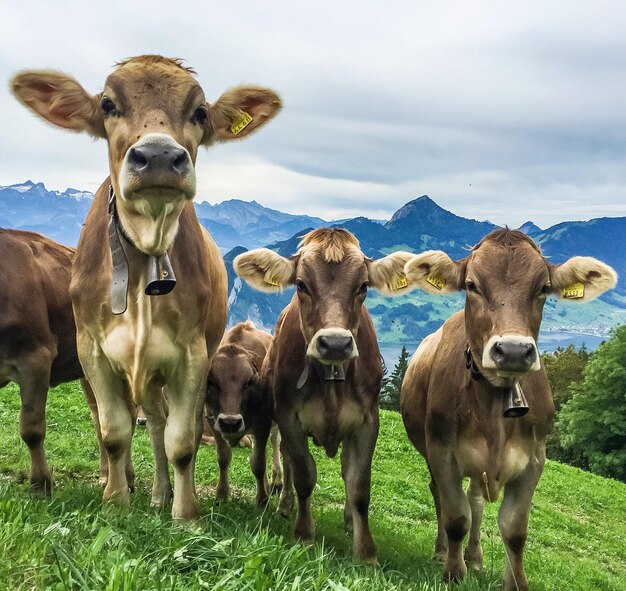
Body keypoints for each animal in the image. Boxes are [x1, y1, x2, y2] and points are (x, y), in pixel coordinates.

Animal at [206, 322, 282, 506]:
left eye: (249, 382)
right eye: (212, 382)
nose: (230, 423)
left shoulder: (263, 423)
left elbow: (258, 464)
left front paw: (262, 500)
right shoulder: (213, 422)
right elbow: (223, 457)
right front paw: (222, 494)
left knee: (276, 443)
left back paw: (276, 482)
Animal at [234, 229, 414, 560]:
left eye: (363, 286)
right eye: (301, 284)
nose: (335, 343)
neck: (331, 380)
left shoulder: (368, 422)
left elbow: (359, 485)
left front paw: (365, 551)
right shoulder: (289, 417)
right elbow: (304, 475)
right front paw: (304, 535)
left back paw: (348, 520)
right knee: (288, 460)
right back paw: (285, 505)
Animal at [400, 230, 616, 591]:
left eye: (543, 288)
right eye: (471, 284)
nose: (514, 350)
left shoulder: (534, 459)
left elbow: (514, 529)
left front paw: (513, 581)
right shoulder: (442, 449)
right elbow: (455, 516)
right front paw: (453, 573)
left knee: (474, 499)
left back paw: (474, 557)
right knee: (443, 497)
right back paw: (444, 552)